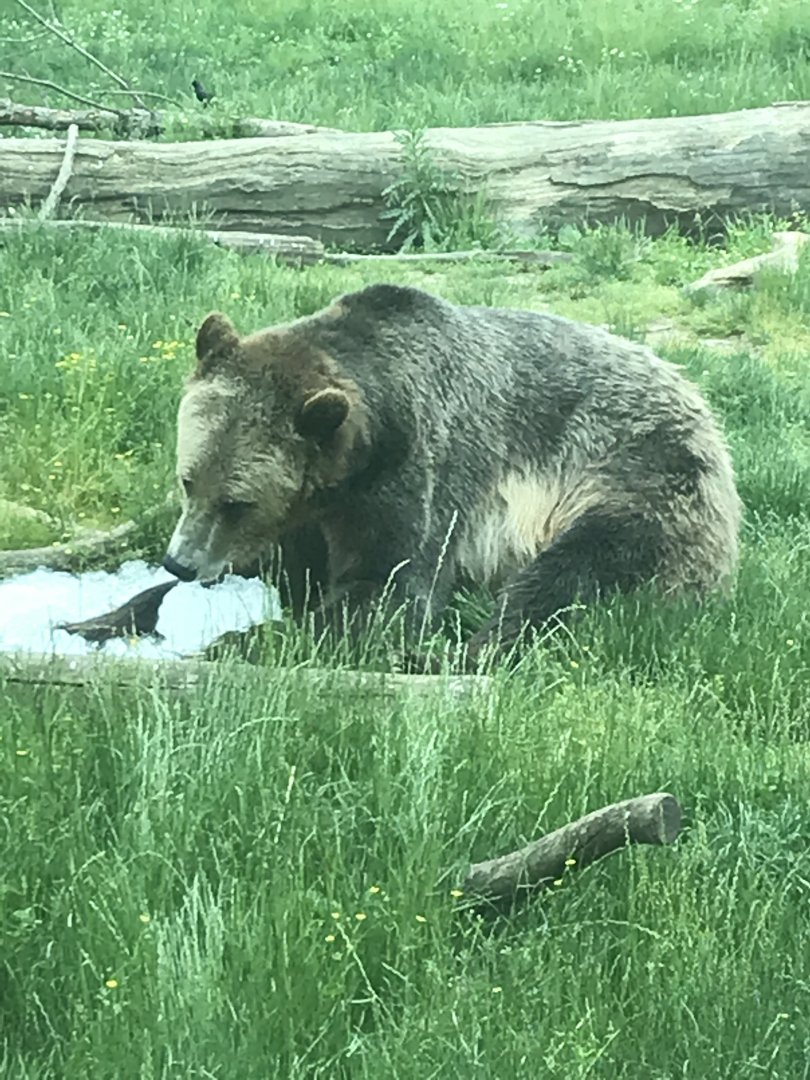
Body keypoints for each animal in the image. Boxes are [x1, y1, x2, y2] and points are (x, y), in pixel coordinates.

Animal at [161, 282, 742, 665]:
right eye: (188, 480)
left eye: (237, 502)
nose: (180, 563)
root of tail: (700, 404)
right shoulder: (313, 510)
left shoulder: (418, 468)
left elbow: (388, 588)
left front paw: (238, 639)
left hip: (638, 474)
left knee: (579, 567)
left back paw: (470, 647)